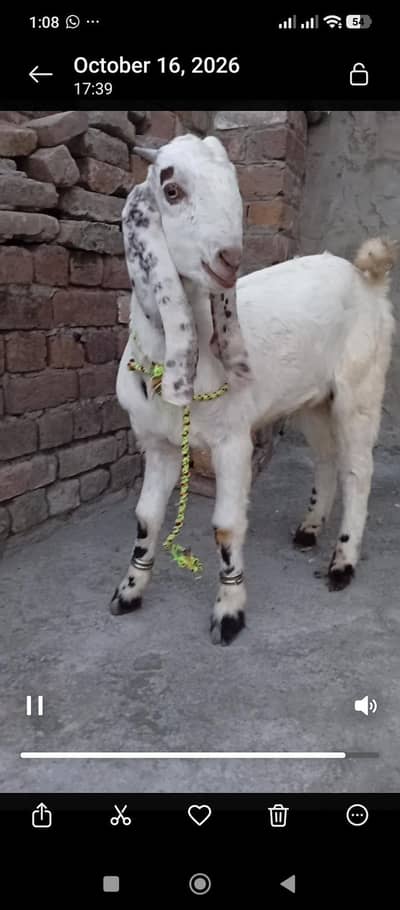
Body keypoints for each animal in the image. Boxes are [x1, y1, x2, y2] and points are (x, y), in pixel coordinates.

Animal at [111, 132, 398, 645]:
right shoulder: (158, 445)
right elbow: (146, 517)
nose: (229, 259)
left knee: (357, 470)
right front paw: (128, 592)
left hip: (360, 387)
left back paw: (342, 563)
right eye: (171, 189)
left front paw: (229, 613)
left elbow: (226, 527)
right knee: (326, 457)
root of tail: (369, 279)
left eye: (235, 186)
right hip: (311, 400)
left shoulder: (232, 442)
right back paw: (309, 529)